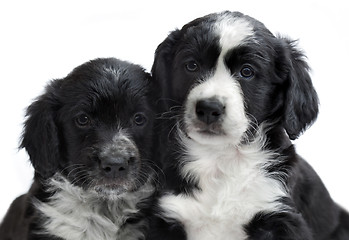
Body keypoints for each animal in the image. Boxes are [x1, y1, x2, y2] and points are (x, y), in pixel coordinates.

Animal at [149, 10, 348, 240]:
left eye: (247, 71)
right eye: (191, 65)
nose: (209, 108)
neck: (221, 160)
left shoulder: (279, 215)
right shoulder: (168, 216)